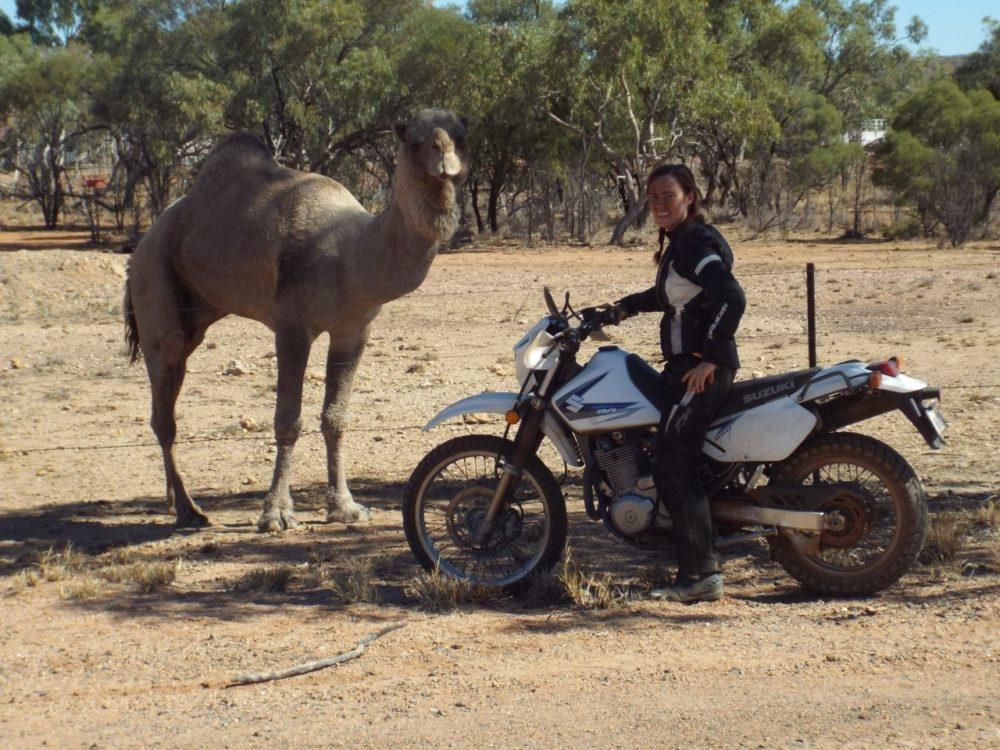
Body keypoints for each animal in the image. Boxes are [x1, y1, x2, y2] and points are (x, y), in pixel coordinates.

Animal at [123, 108, 470, 532]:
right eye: (413, 139)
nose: (443, 155)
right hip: (155, 285)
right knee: (164, 411)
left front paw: (346, 507)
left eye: (460, 135)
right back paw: (190, 511)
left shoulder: (353, 329)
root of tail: (141, 243)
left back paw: (174, 502)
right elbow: (288, 420)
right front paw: (276, 514)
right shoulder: (292, 326)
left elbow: (336, 418)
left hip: (197, 313)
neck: (351, 253)